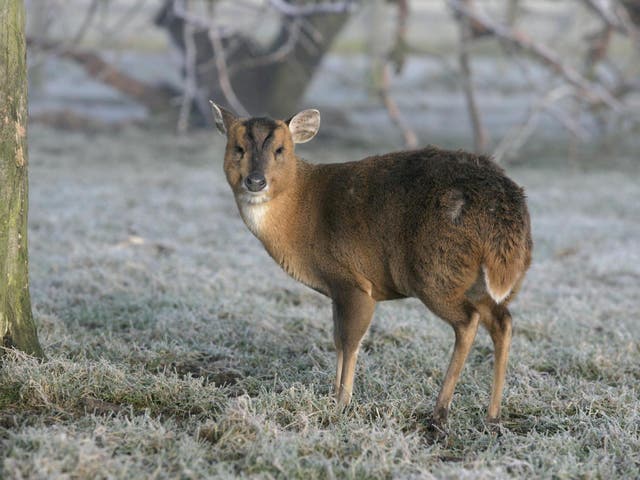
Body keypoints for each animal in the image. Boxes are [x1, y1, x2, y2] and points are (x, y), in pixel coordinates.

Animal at [212, 103, 532, 426]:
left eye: (280, 149)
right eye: (238, 148)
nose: (255, 181)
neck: (300, 214)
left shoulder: (352, 281)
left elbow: (350, 340)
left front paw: (342, 402)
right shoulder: (336, 288)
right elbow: (337, 339)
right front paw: (333, 395)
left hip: (437, 273)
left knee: (467, 322)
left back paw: (439, 411)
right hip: (480, 281)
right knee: (502, 321)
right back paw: (493, 414)